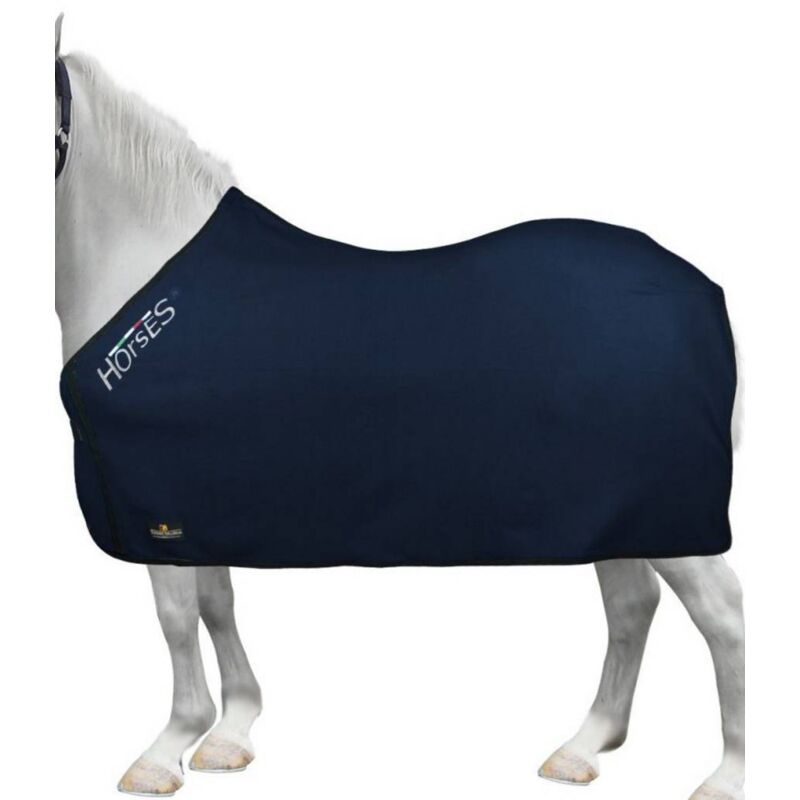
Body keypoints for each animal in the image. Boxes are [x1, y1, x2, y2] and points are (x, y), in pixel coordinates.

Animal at [53, 16, 744, 800]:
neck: (147, 274)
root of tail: (703, 292)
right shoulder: (198, 511)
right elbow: (216, 604)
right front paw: (231, 732)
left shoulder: (158, 510)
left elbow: (175, 617)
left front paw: (168, 747)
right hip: (618, 517)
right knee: (632, 607)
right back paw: (584, 746)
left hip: (675, 519)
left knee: (723, 613)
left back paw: (728, 774)